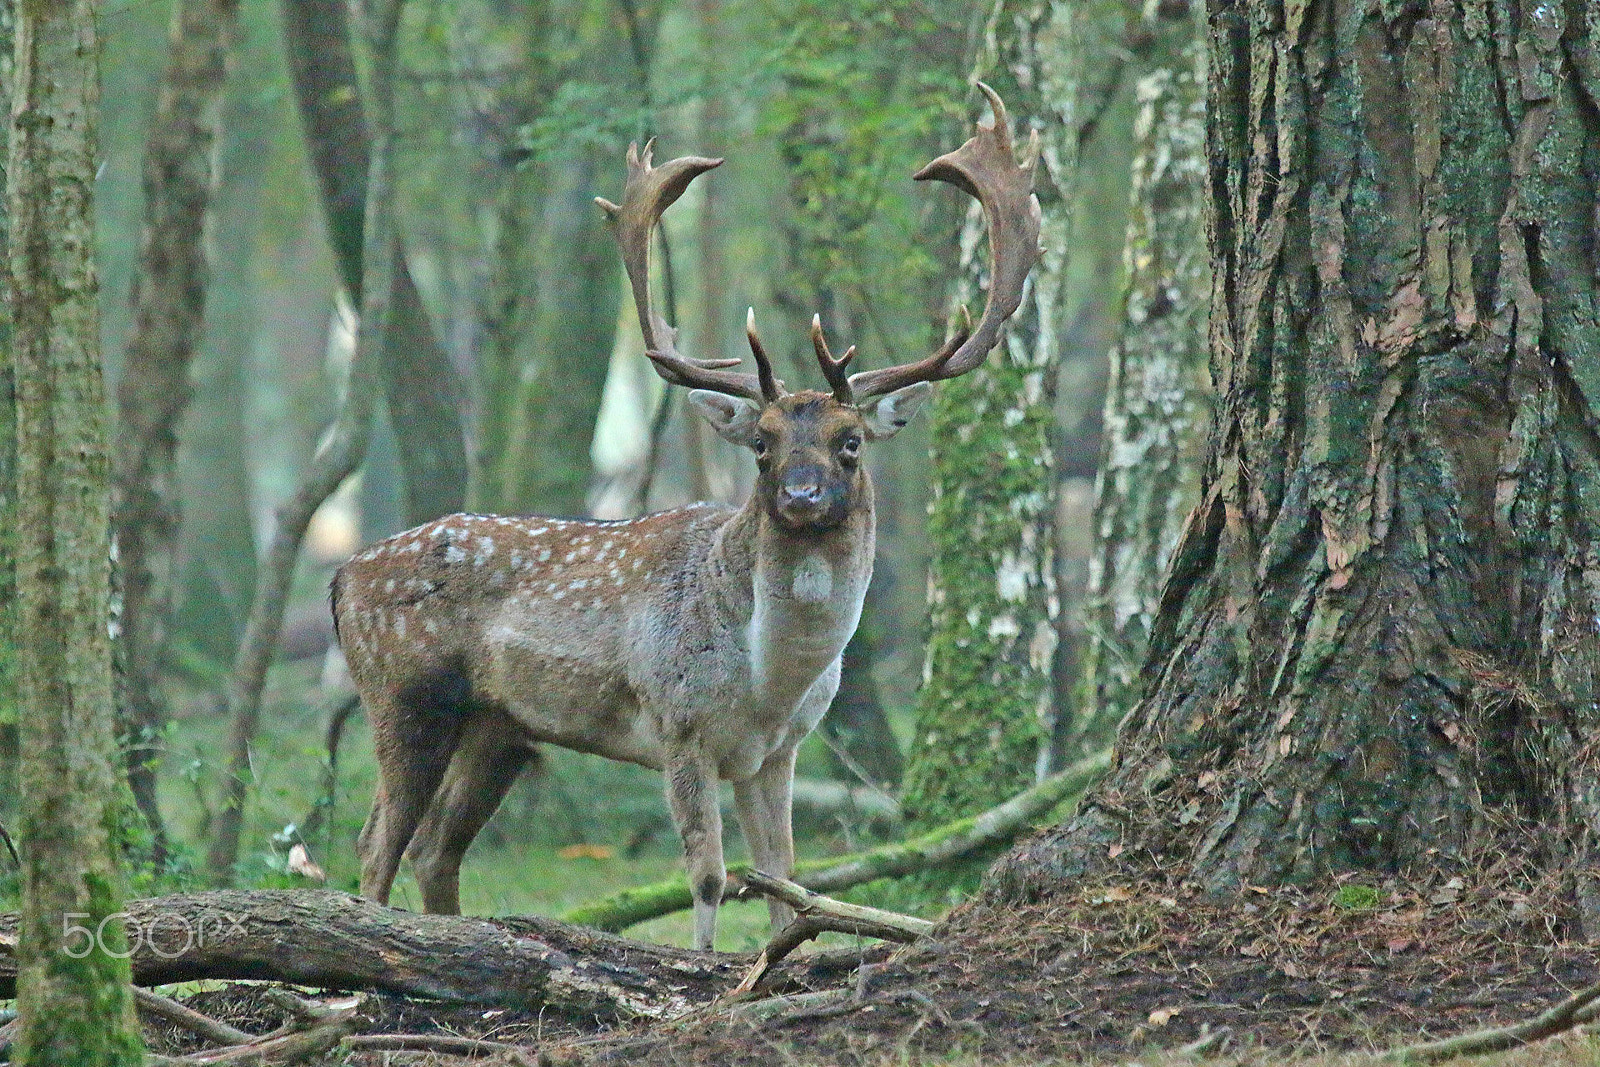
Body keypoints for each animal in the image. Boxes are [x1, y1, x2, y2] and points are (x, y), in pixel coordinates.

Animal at [331, 84, 1041, 951]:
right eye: (762, 444)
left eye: (849, 442)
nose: (801, 499)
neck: (771, 679)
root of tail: (340, 574)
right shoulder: (679, 724)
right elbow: (708, 875)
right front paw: (707, 966)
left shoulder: (778, 753)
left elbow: (783, 879)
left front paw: (781, 950)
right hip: (405, 692)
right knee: (375, 843)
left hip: (499, 728)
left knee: (435, 848)